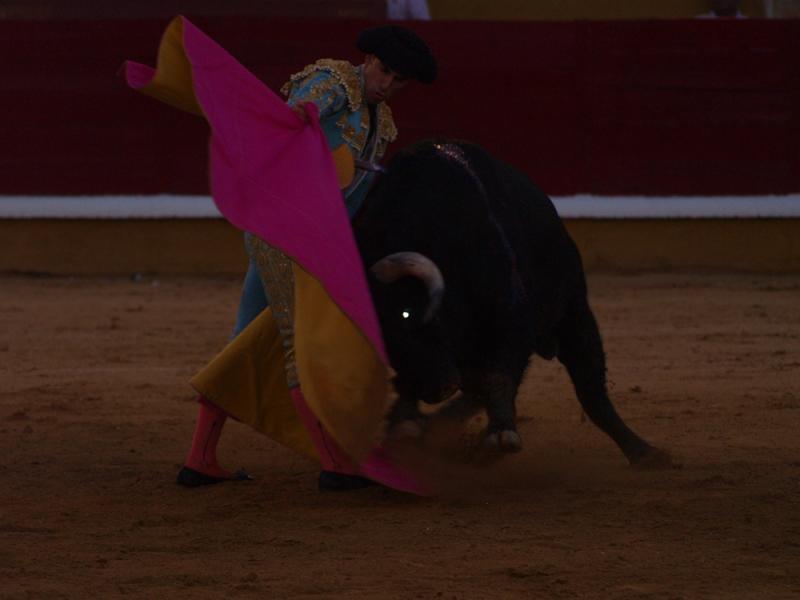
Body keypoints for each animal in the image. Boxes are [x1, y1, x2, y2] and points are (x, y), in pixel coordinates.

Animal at [354, 141, 672, 468]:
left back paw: (644, 453)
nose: (438, 389)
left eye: (405, 314)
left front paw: (501, 434)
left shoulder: (510, 320)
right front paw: (405, 422)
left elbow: (498, 376)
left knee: (591, 391)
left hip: (575, 315)